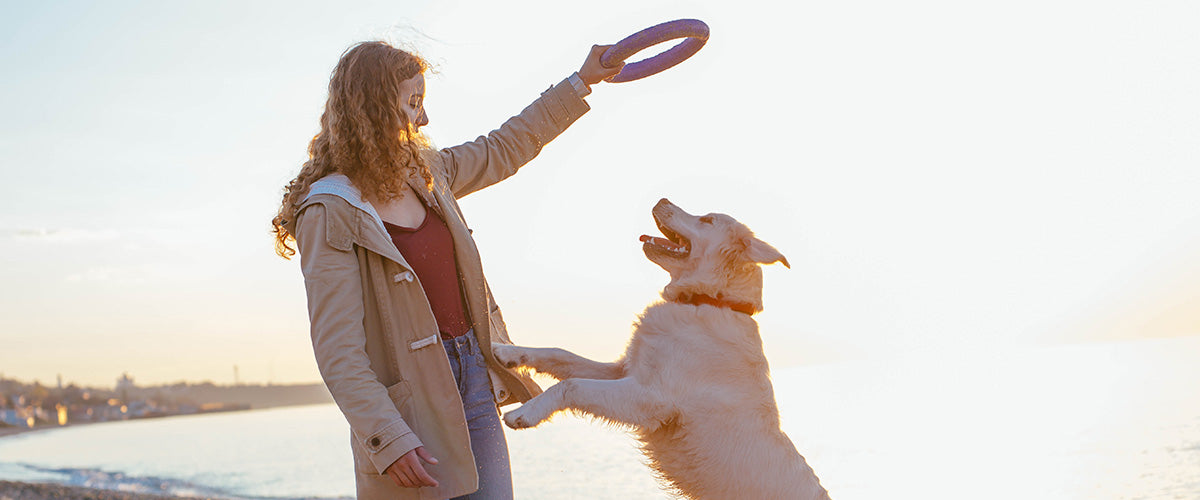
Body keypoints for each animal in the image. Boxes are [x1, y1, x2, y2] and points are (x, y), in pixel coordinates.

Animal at [492, 199, 830, 498]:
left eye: (707, 220)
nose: (662, 198)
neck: (707, 301)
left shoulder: (652, 398)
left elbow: (572, 385)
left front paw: (525, 413)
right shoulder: (625, 371)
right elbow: (560, 354)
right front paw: (506, 351)